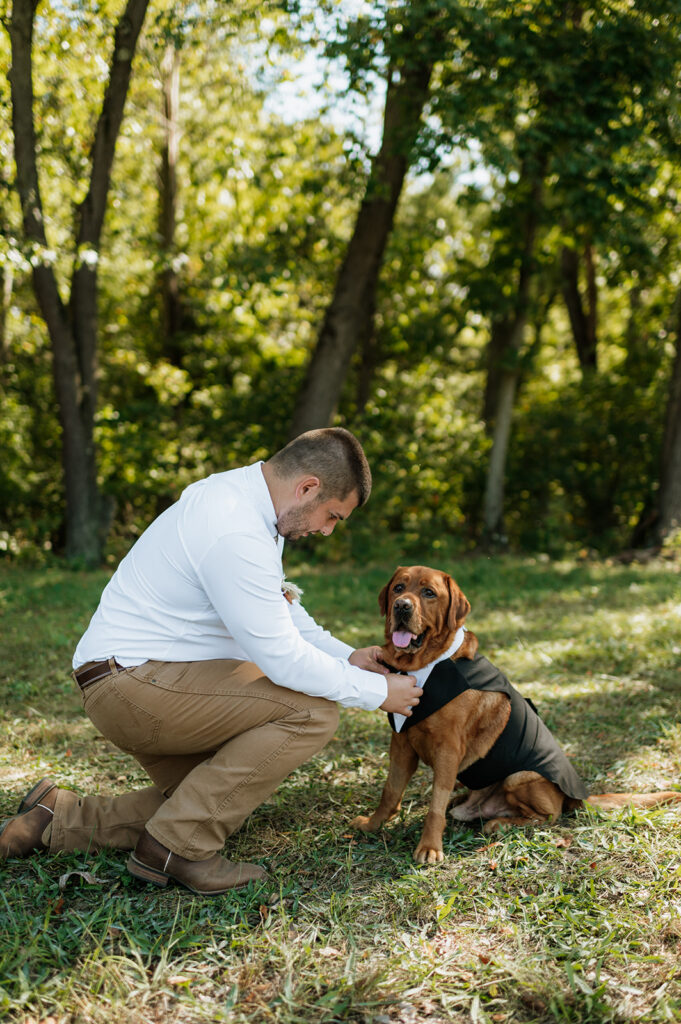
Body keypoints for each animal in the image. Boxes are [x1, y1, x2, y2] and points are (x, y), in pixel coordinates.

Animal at [350, 569, 679, 864]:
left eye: (429, 593)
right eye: (398, 588)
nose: (401, 606)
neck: (422, 666)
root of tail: (578, 797)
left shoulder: (448, 750)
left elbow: (435, 806)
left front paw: (430, 847)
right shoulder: (401, 743)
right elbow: (390, 791)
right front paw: (373, 825)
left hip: (520, 777)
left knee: (549, 816)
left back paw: (502, 823)